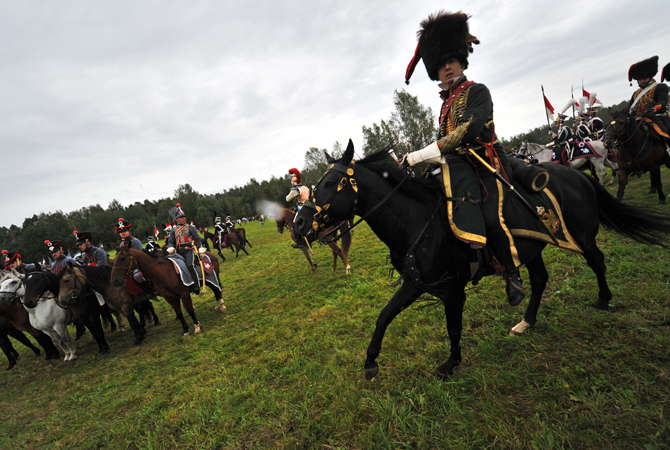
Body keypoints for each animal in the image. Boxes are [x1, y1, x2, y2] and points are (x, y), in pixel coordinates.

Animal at [296, 140, 670, 380]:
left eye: (331, 182)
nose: (299, 224)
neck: (417, 220)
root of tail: (580, 177)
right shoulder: (416, 284)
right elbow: (384, 316)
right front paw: (371, 362)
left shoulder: (452, 290)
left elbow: (453, 327)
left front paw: (451, 364)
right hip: (531, 250)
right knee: (539, 280)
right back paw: (526, 320)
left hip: (583, 237)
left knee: (597, 262)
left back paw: (604, 299)